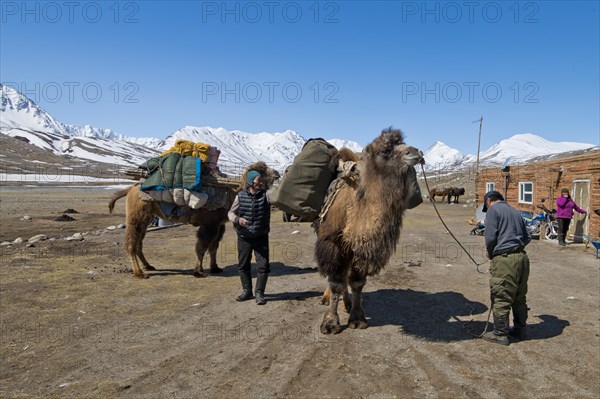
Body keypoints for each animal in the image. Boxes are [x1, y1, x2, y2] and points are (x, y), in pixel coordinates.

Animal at [109, 162, 276, 278]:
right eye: (261, 172)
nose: (277, 173)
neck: (231, 192)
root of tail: (130, 189)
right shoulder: (209, 224)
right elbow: (201, 247)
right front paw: (199, 271)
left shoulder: (218, 225)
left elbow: (213, 247)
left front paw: (215, 268)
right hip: (136, 216)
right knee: (131, 243)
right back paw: (139, 273)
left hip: (146, 217)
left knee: (139, 242)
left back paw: (148, 266)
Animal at [316, 129, 424, 334]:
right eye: (385, 151)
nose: (417, 152)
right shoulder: (334, 243)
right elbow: (335, 283)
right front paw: (330, 323)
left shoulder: (361, 249)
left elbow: (357, 282)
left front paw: (357, 318)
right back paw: (326, 298)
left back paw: (347, 303)